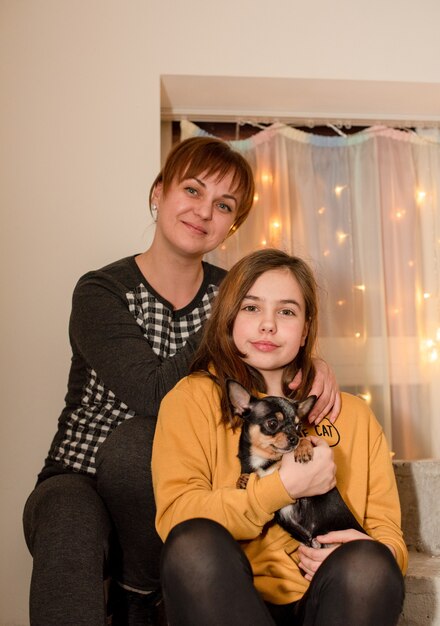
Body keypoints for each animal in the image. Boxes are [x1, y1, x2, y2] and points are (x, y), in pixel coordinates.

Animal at [227, 376, 364, 544]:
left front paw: (302, 449)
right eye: (272, 423)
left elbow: (306, 440)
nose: (294, 438)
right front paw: (242, 480)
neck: (265, 459)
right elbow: (245, 475)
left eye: (298, 426)